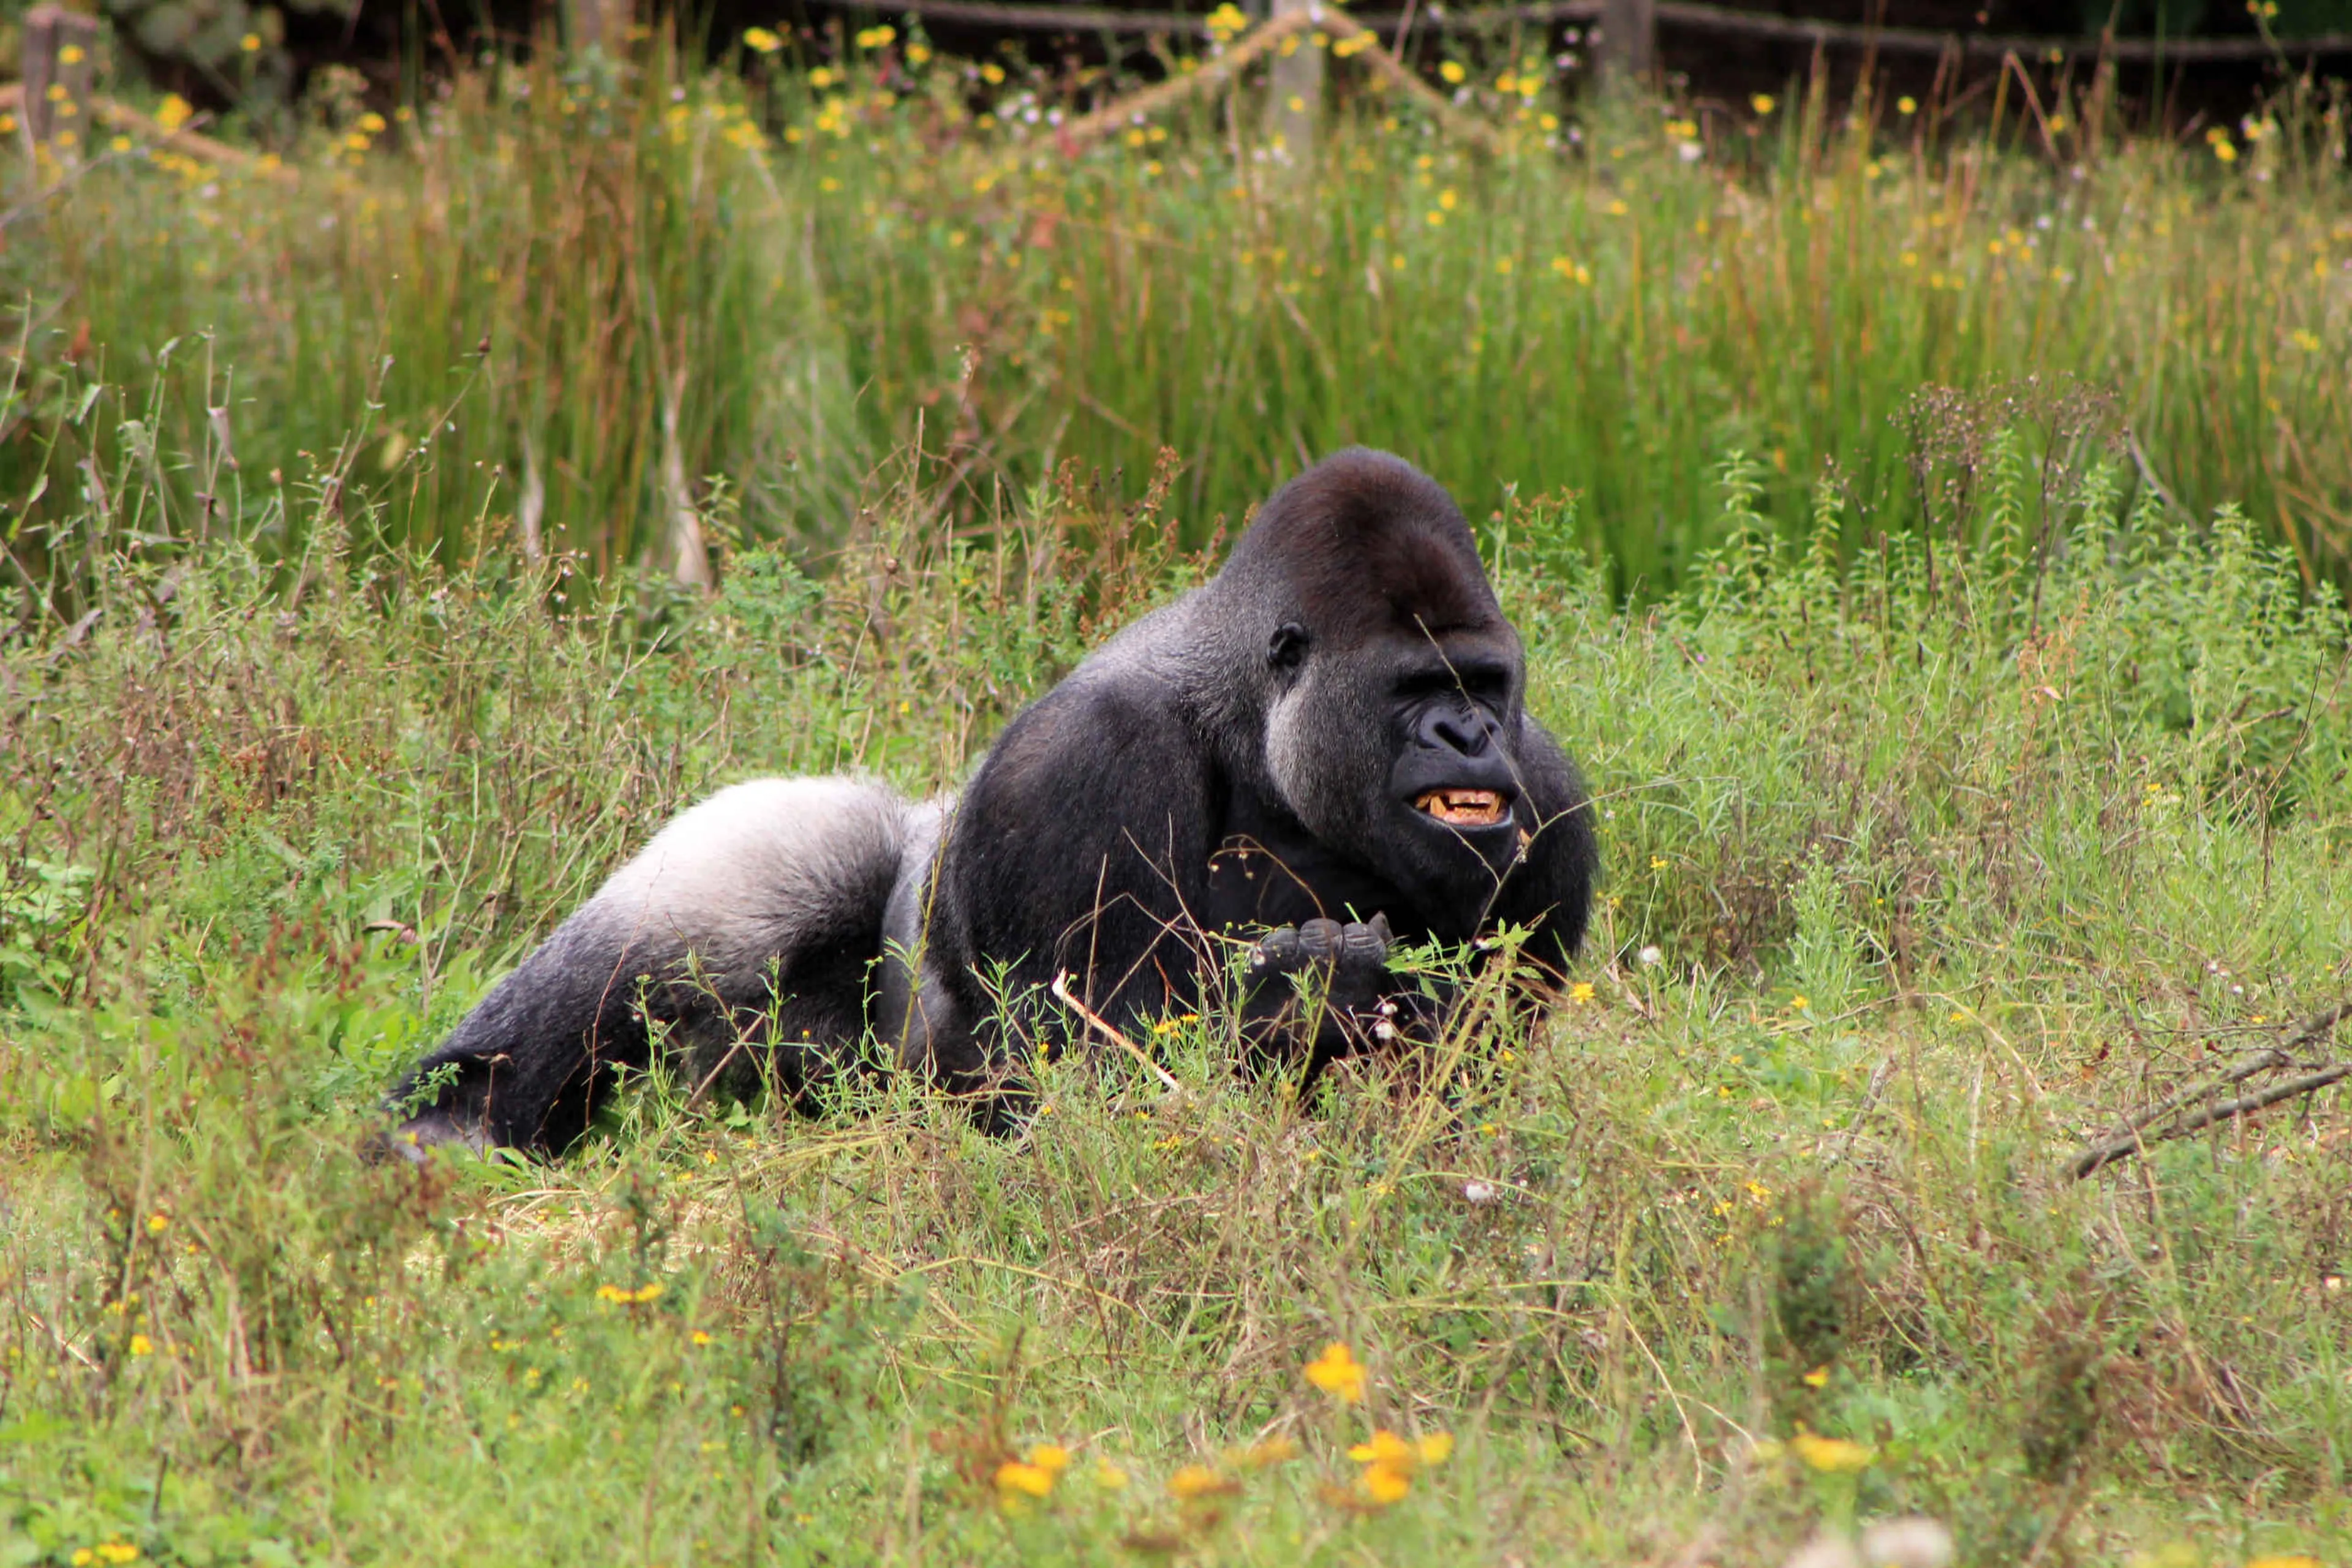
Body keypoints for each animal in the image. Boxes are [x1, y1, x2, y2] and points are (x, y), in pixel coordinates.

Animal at [389, 448, 1597, 1156]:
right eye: (1412, 690)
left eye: (1483, 682)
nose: (1467, 736)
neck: (1256, 724)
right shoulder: (1074, 767)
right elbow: (1087, 1089)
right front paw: (1311, 989)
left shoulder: (1554, 800)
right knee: (727, 902)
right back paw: (451, 1128)